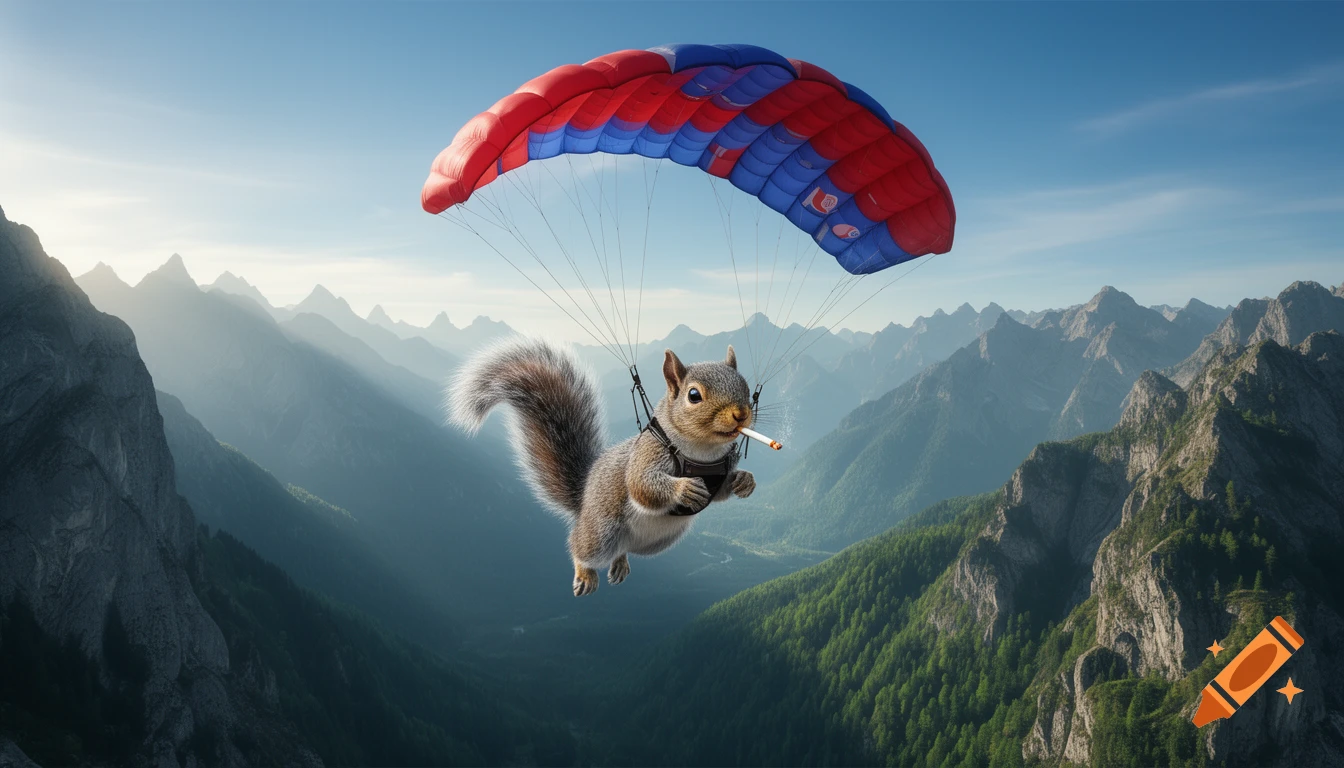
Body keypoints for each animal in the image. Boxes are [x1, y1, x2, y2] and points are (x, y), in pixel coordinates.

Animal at [447, 337, 756, 597]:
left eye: (746, 386)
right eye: (694, 395)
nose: (740, 414)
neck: (703, 451)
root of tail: (584, 499)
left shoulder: (719, 472)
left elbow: (721, 491)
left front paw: (744, 480)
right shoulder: (647, 454)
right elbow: (642, 485)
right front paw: (684, 489)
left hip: (658, 542)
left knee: (624, 549)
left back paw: (619, 563)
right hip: (601, 531)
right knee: (579, 546)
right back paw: (585, 572)